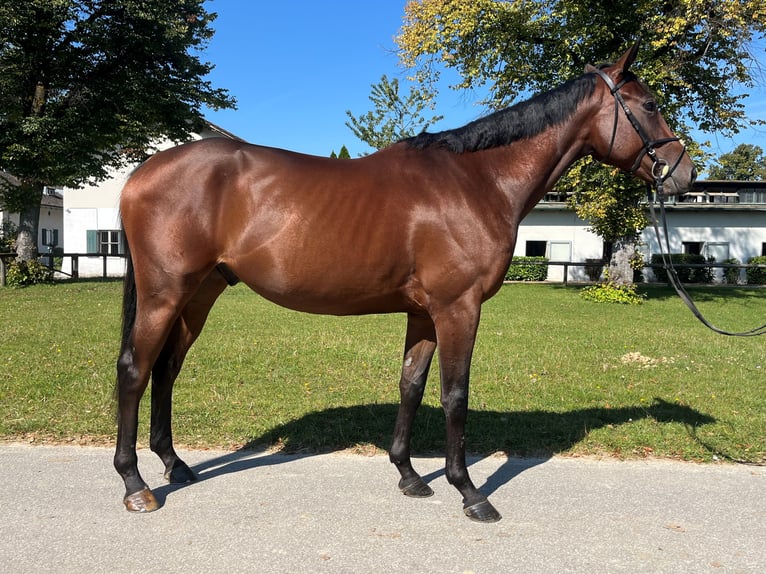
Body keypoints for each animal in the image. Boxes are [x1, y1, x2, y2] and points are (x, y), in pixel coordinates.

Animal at [117, 42, 700, 524]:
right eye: (649, 104)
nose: (683, 174)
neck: (478, 181)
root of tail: (142, 172)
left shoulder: (423, 312)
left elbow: (412, 386)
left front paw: (410, 475)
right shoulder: (458, 307)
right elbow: (454, 394)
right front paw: (470, 493)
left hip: (200, 294)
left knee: (167, 370)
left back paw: (175, 464)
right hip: (165, 293)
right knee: (135, 370)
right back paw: (135, 484)